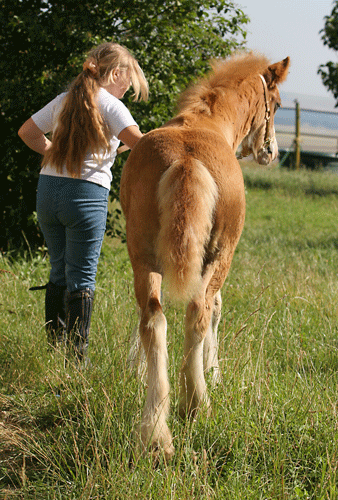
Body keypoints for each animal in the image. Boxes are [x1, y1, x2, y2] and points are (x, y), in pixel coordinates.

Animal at [120, 52, 290, 458]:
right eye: (276, 105)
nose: (271, 152)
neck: (206, 120)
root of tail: (186, 160)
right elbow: (216, 311)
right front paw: (214, 373)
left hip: (143, 255)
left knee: (153, 319)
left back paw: (155, 431)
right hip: (219, 254)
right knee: (198, 311)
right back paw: (196, 405)